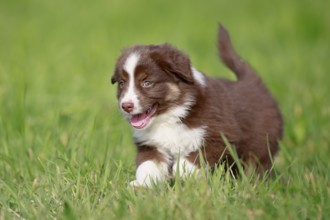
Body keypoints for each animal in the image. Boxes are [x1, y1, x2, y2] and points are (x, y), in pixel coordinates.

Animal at [111, 24, 284, 186]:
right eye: (121, 83)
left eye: (147, 83)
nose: (126, 106)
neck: (172, 115)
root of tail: (253, 82)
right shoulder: (150, 144)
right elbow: (147, 166)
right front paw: (141, 186)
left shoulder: (220, 137)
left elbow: (187, 163)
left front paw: (182, 179)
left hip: (262, 144)